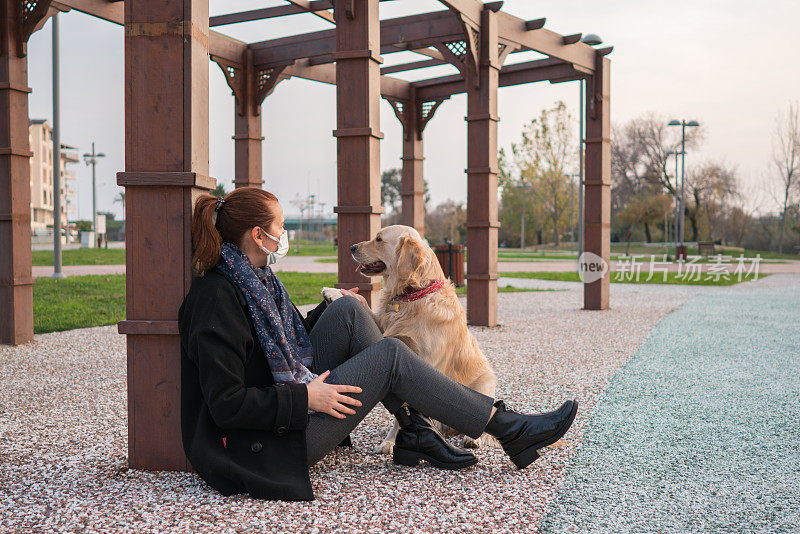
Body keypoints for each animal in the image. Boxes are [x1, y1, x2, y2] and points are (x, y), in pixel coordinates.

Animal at [322, 226, 496, 456]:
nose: (351, 247)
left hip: (485, 383)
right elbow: (362, 304)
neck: (413, 295)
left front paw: (395, 440)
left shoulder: (423, 363)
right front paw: (334, 292)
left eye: (379, 239)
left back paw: (472, 439)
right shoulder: (385, 331)